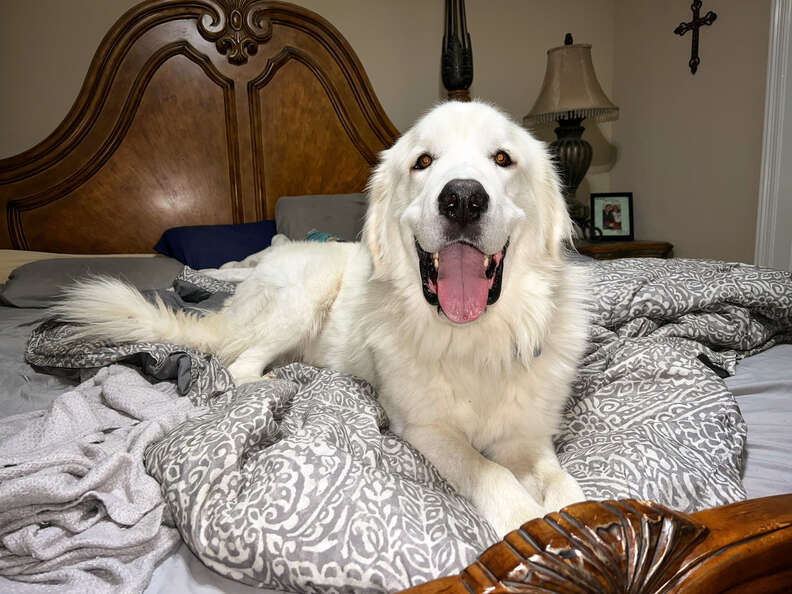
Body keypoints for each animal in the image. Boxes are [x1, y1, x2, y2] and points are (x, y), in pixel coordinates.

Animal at [57, 99, 588, 536]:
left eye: (502, 159)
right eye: (423, 162)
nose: (461, 199)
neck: (475, 336)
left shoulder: (530, 434)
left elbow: (568, 487)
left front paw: (575, 521)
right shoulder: (425, 429)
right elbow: (490, 472)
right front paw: (528, 522)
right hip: (304, 296)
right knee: (238, 366)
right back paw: (270, 383)